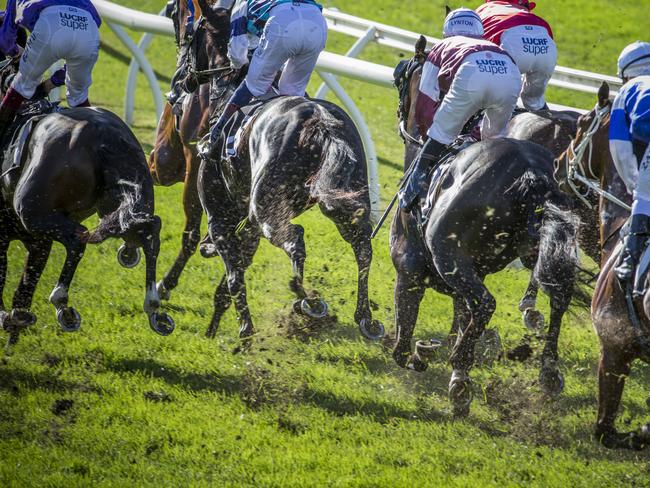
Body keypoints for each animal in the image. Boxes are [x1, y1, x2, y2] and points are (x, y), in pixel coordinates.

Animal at [0, 61, 175, 346]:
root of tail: (101, 135)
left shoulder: (16, 234)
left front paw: (10, 319)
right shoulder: (38, 241)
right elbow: (24, 287)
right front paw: (16, 322)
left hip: (34, 212)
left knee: (77, 240)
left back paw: (63, 305)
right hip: (124, 197)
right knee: (147, 229)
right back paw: (153, 306)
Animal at [192, 4, 382, 340]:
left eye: (195, 31)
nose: (184, 79)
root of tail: (321, 123)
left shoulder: (220, 215)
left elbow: (234, 274)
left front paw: (243, 330)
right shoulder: (249, 223)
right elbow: (239, 265)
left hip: (268, 211)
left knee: (296, 240)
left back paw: (308, 302)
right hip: (345, 201)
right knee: (362, 246)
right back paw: (365, 318)